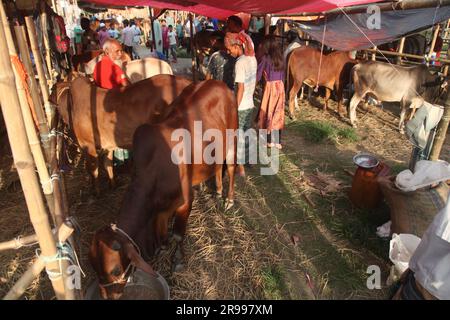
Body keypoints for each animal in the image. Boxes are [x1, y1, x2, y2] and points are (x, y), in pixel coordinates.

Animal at [50, 74, 191, 192]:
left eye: (52, 88)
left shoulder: (88, 145)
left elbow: (94, 170)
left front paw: (96, 191)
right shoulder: (107, 146)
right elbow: (108, 165)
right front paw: (112, 184)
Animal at [87, 80, 239, 300]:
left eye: (115, 270)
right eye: (94, 269)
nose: (108, 296)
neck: (154, 167)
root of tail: (218, 82)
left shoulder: (185, 201)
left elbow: (177, 235)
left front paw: (178, 260)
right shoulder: (161, 209)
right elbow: (163, 230)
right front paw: (162, 247)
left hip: (233, 139)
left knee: (232, 167)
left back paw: (228, 199)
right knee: (218, 166)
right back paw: (218, 192)